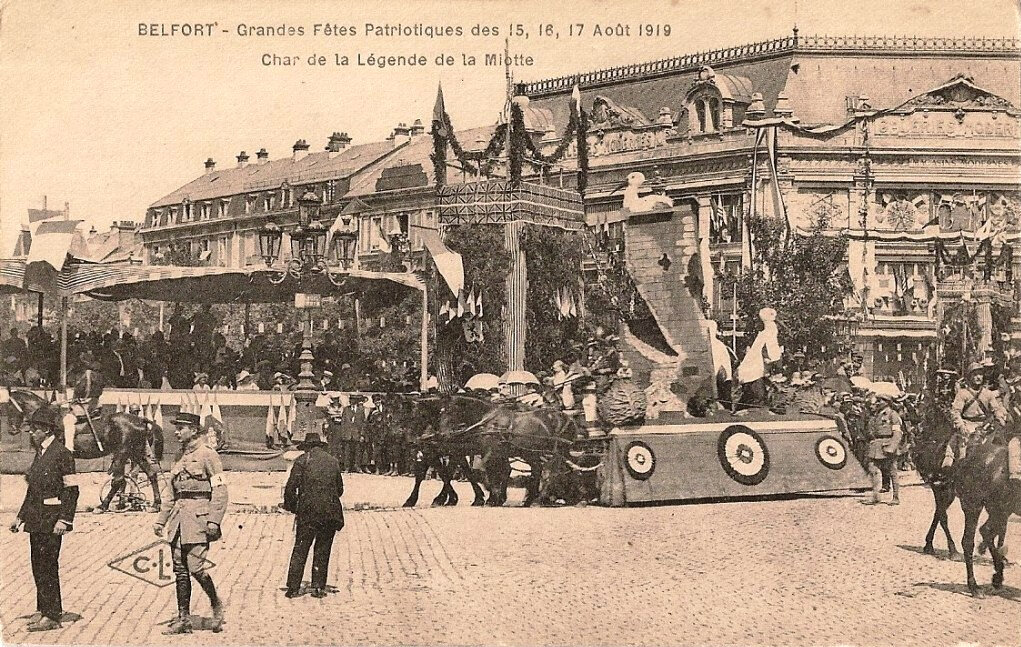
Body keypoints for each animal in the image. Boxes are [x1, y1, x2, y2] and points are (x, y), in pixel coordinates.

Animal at [1, 387, 164, 508]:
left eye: (9, 407)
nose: (11, 430)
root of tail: (140, 420)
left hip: (122, 454)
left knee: (118, 480)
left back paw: (103, 505)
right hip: (135, 453)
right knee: (151, 474)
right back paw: (155, 503)